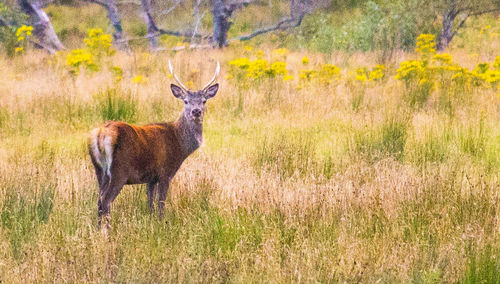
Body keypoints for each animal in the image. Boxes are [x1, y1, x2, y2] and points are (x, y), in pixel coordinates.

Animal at [87, 60, 219, 229]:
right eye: (185, 101)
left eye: (204, 100)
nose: (196, 111)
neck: (180, 144)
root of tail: (101, 134)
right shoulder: (165, 172)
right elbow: (161, 203)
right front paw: (162, 225)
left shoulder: (151, 178)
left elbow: (150, 204)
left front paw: (152, 224)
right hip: (119, 171)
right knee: (106, 201)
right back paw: (107, 231)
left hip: (100, 171)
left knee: (98, 200)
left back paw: (98, 230)